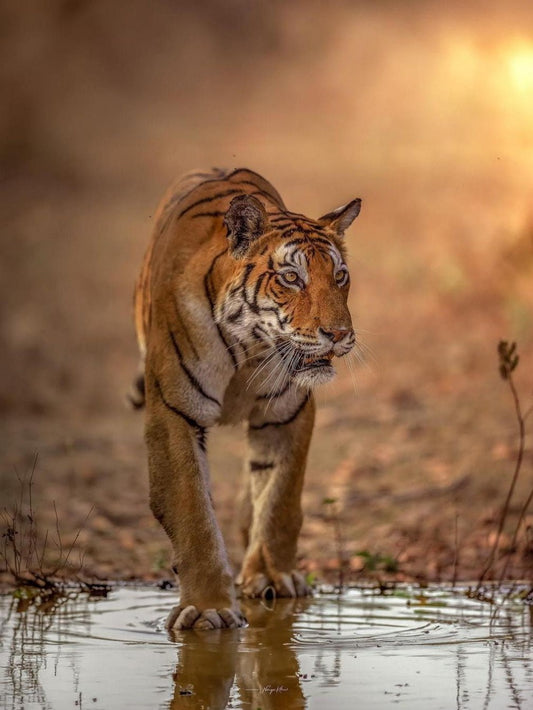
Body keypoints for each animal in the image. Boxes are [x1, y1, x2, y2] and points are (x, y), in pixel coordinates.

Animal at [131, 168, 361, 631]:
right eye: (291, 278)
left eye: (340, 276)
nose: (340, 334)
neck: (250, 347)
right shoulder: (174, 414)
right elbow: (193, 514)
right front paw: (207, 609)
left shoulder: (287, 413)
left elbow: (279, 500)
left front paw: (272, 579)